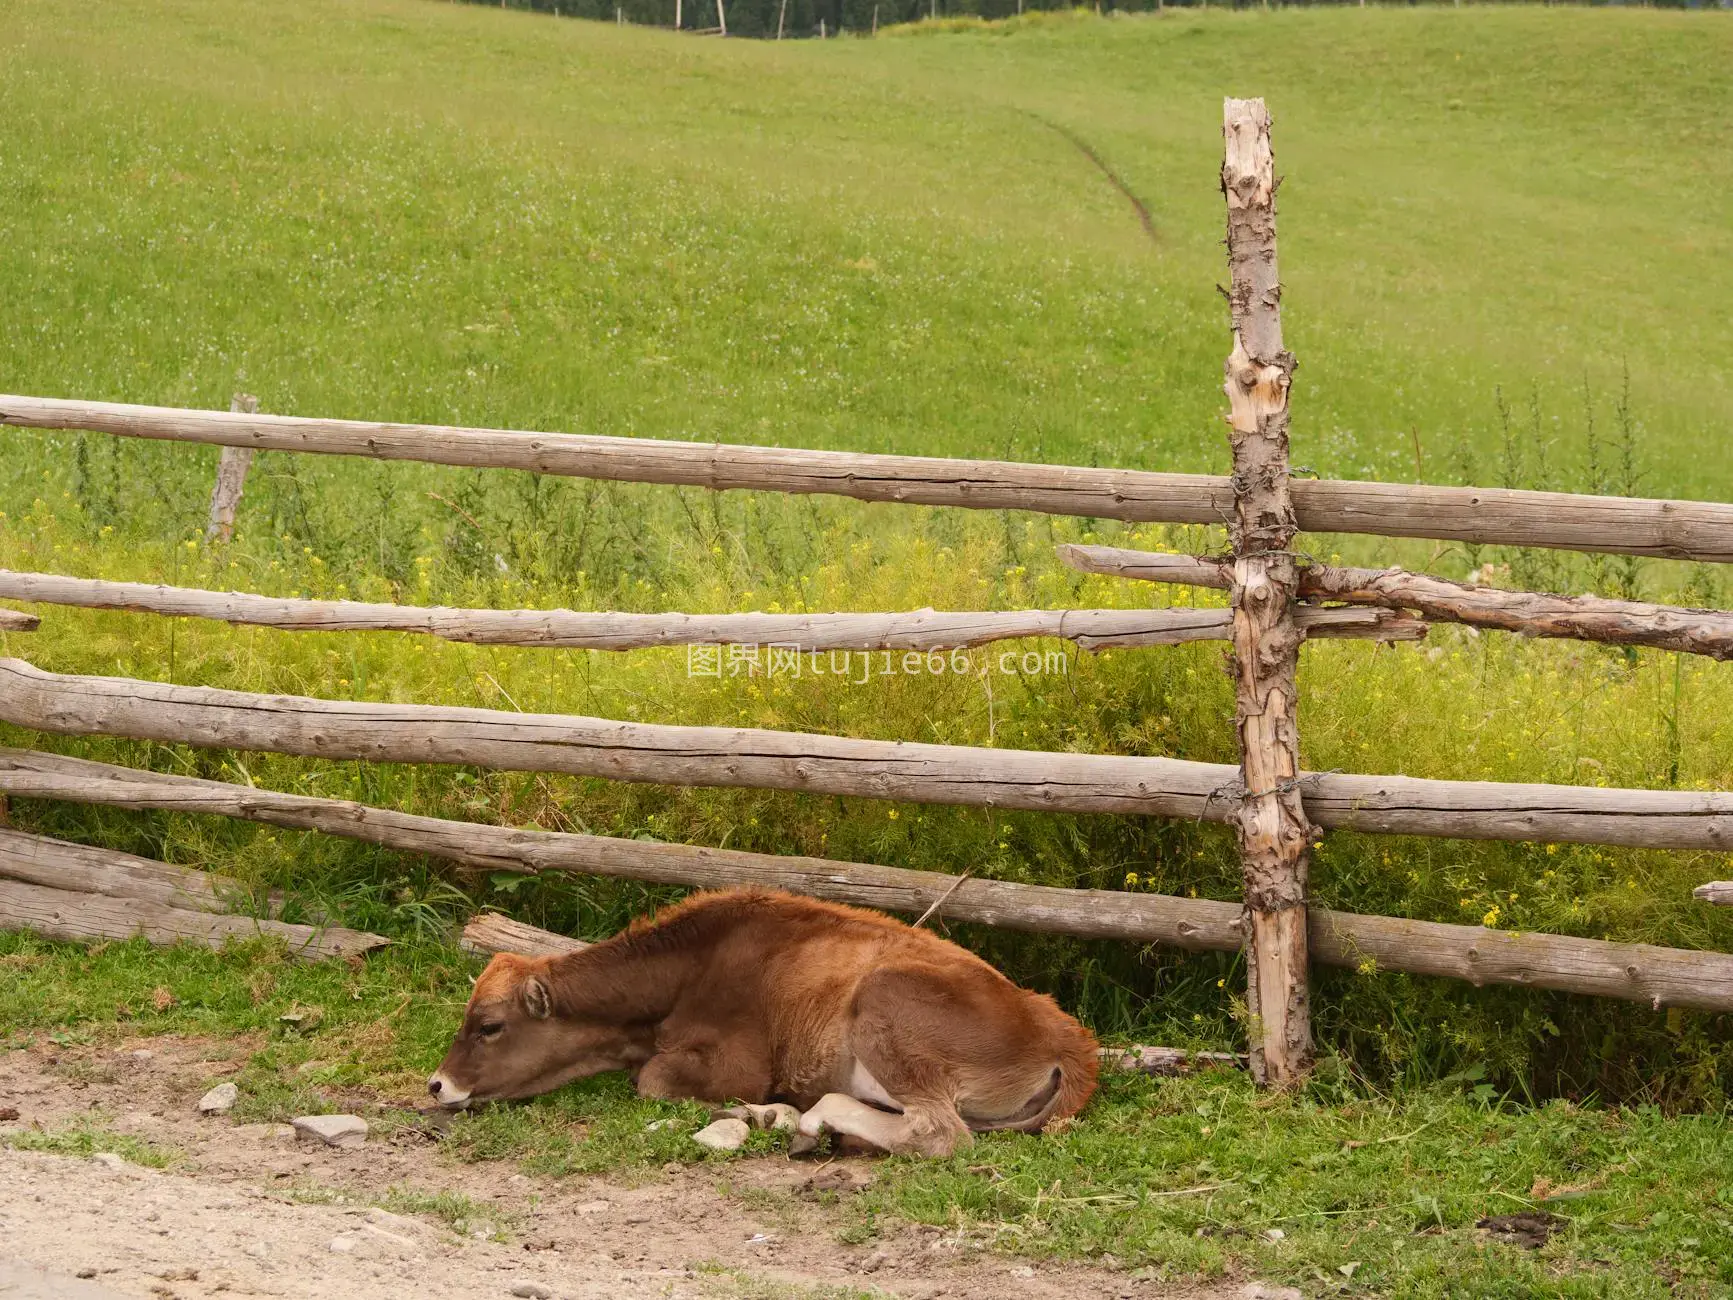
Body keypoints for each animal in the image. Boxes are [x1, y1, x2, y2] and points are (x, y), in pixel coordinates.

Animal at [428, 894, 1095, 1157]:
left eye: (489, 1026)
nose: (436, 1084)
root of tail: (1066, 1031)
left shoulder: (737, 1064)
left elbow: (652, 1081)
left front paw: (758, 1111)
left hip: (886, 1003)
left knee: (938, 1132)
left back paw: (806, 1120)